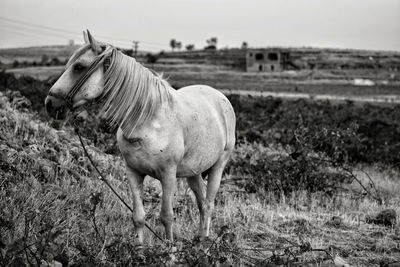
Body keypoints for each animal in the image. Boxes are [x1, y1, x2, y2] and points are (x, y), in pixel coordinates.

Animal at [45, 31, 236, 249]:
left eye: (79, 66)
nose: (50, 103)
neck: (147, 122)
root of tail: (220, 97)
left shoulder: (168, 175)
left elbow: (166, 217)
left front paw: (169, 251)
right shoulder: (133, 172)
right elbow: (138, 217)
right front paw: (140, 250)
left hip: (218, 166)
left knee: (209, 204)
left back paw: (203, 245)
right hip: (193, 171)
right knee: (202, 203)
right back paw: (199, 240)